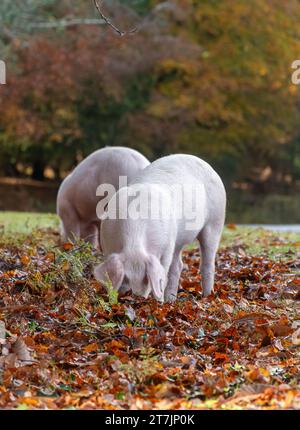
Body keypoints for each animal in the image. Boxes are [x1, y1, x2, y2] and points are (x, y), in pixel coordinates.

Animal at [94, 155, 225, 302]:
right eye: (125, 278)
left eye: (146, 278)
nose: (137, 298)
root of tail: (207, 165)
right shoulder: (107, 246)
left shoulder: (166, 246)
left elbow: (163, 272)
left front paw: (159, 302)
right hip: (178, 238)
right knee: (178, 265)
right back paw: (171, 300)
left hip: (215, 221)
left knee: (208, 263)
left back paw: (206, 296)